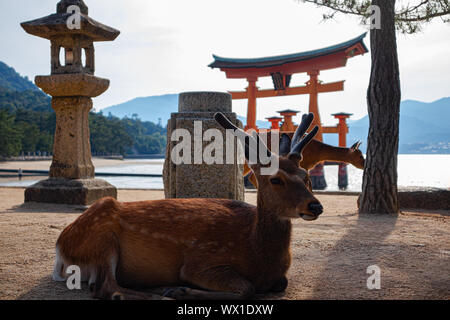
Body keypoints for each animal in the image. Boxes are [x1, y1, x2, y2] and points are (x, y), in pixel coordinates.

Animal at [52, 112, 322, 300]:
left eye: (306, 175)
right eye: (275, 179)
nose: (315, 206)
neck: (258, 252)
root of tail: (60, 249)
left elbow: (279, 283)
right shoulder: (200, 263)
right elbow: (247, 288)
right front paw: (181, 290)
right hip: (102, 239)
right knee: (107, 288)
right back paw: (163, 292)